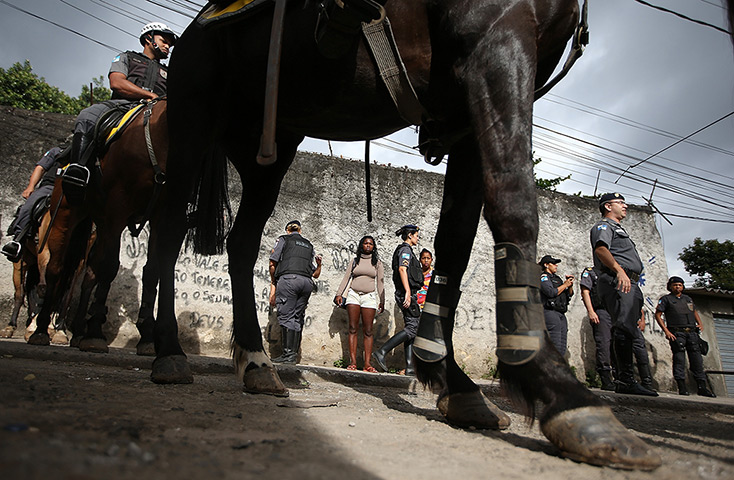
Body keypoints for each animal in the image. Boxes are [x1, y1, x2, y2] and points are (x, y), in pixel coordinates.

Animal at [25, 100, 168, 356]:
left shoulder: (161, 214)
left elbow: (152, 272)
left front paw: (147, 338)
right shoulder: (117, 208)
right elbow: (109, 267)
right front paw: (94, 334)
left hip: (98, 224)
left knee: (89, 274)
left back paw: (77, 334)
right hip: (65, 213)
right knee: (55, 269)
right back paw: (41, 330)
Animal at [155, 0, 660, 470]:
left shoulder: (464, 110)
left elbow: (455, 241)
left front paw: (451, 379)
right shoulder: (496, 40)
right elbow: (514, 201)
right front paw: (558, 389)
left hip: (270, 146)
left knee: (241, 244)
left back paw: (255, 361)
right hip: (192, 117)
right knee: (168, 230)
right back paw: (168, 352)